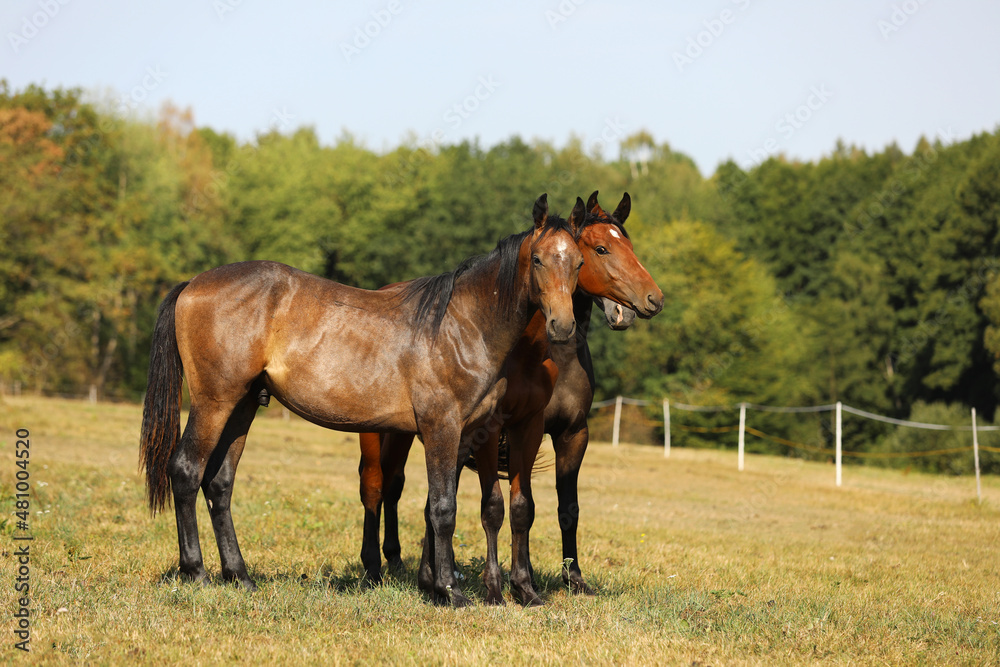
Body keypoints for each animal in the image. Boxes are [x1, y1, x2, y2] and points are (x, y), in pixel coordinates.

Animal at [137, 194, 584, 612]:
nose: (563, 326)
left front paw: (436, 586)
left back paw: (240, 577)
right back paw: (196, 572)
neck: (462, 325)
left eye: (578, 262)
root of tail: (192, 284)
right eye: (539, 259)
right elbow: (443, 509)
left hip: (243, 406)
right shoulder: (442, 428)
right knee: (186, 470)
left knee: (219, 483)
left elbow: (440, 506)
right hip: (214, 402)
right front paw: (450, 591)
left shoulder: (468, 436)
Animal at [360, 192, 664, 604]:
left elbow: (551, 507)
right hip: (380, 433)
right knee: (376, 487)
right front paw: (495, 587)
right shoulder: (491, 431)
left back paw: (405, 565)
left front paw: (560, 580)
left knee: (400, 488)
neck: (538, 354)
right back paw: (375, 568)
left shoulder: (565, 433)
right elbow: (493, 507)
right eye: (601, 248)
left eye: (629, 246)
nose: (652, 300)